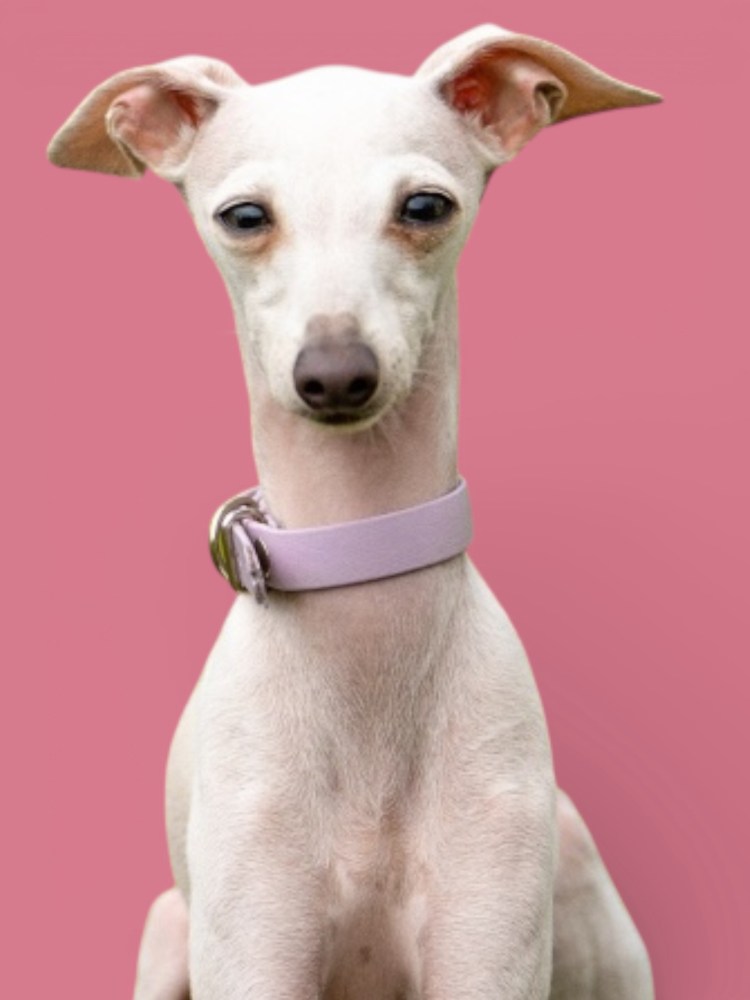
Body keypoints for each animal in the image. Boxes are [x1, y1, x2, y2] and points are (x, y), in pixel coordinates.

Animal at [49, 24, 660, 1000]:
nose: (335, 374)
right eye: (244, 216)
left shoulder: (488, 946)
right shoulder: (253, 947)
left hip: (573, 868)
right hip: (167, 928)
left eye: (425, 204)